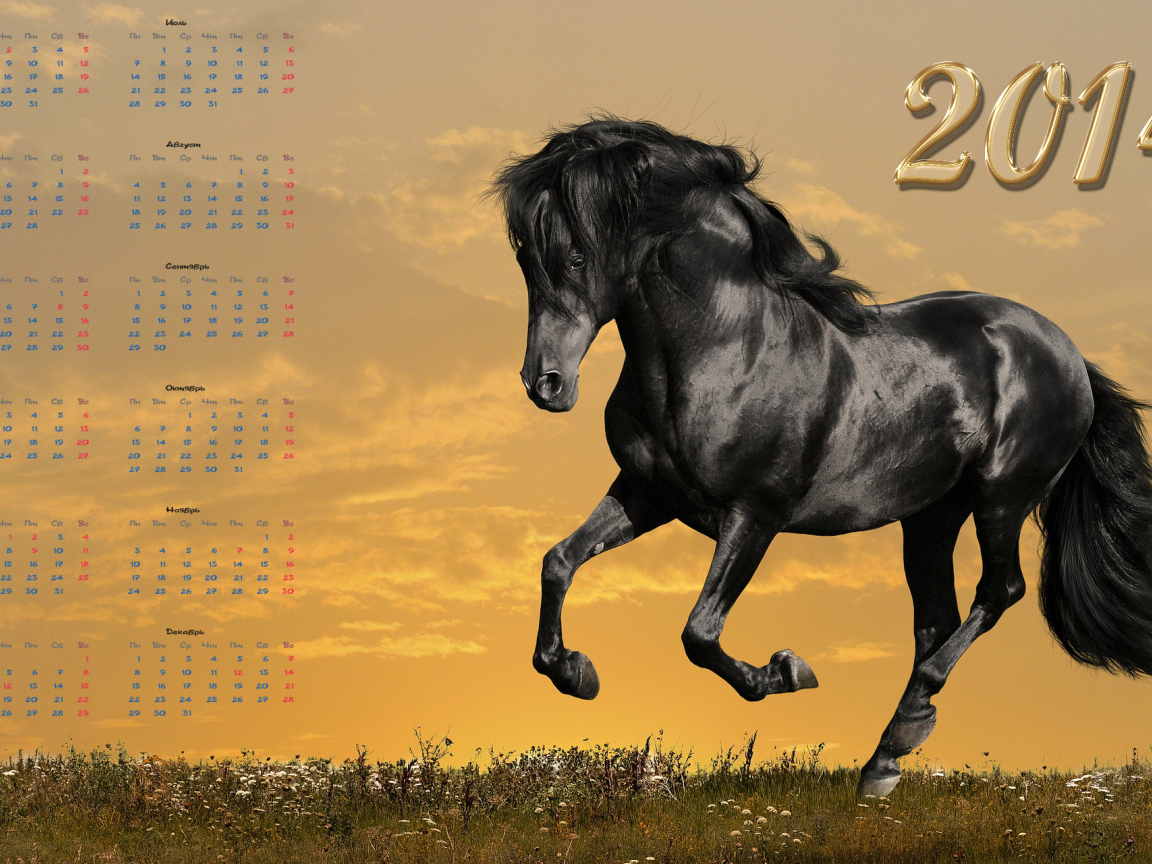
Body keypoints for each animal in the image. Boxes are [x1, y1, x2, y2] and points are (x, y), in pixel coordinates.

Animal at [491, 117, 1152, 797]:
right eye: (524, 258)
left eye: (576, 256)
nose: (545, 384)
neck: (726, 350)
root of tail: (1067, 354)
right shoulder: (648, 494)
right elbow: (558, 562)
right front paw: (575, 672)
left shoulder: (755, 514)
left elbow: (699, 633)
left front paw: (786, 671)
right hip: (931, 517)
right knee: (936, 620)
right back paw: (884, 760)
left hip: (1002, 498)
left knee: (1000, 591)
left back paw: (904, 729)